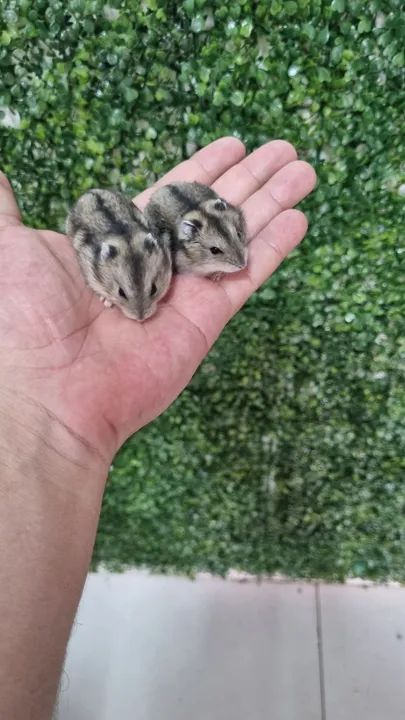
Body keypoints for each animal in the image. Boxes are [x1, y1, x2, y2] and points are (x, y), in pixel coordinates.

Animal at [66, 189, 172, 321]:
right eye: (121, 292)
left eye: (154, 289)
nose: (141, 318)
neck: (123, 237)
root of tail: (90, 191)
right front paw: (107, 301)